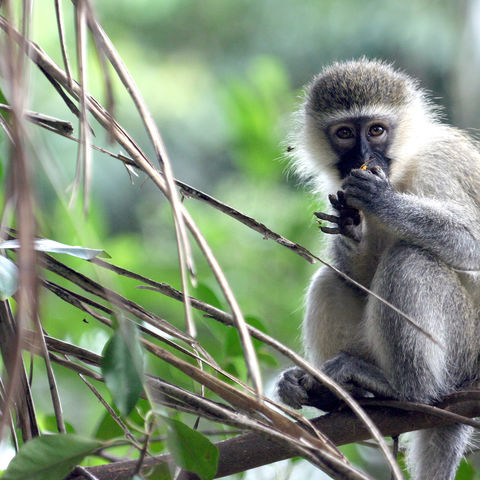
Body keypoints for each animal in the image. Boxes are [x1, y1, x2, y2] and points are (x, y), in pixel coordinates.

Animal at [276, 59, 480, 480]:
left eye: (376, 130)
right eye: (344, 133)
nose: (362, 156)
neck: (402, 170)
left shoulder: (441, 165)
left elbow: (473, 242)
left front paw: (382, 200)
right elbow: (357, 277)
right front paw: (350, 227)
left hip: (464, 349)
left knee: (410, 259)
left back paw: (406, 391)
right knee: (330, 280)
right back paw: (337, 395)